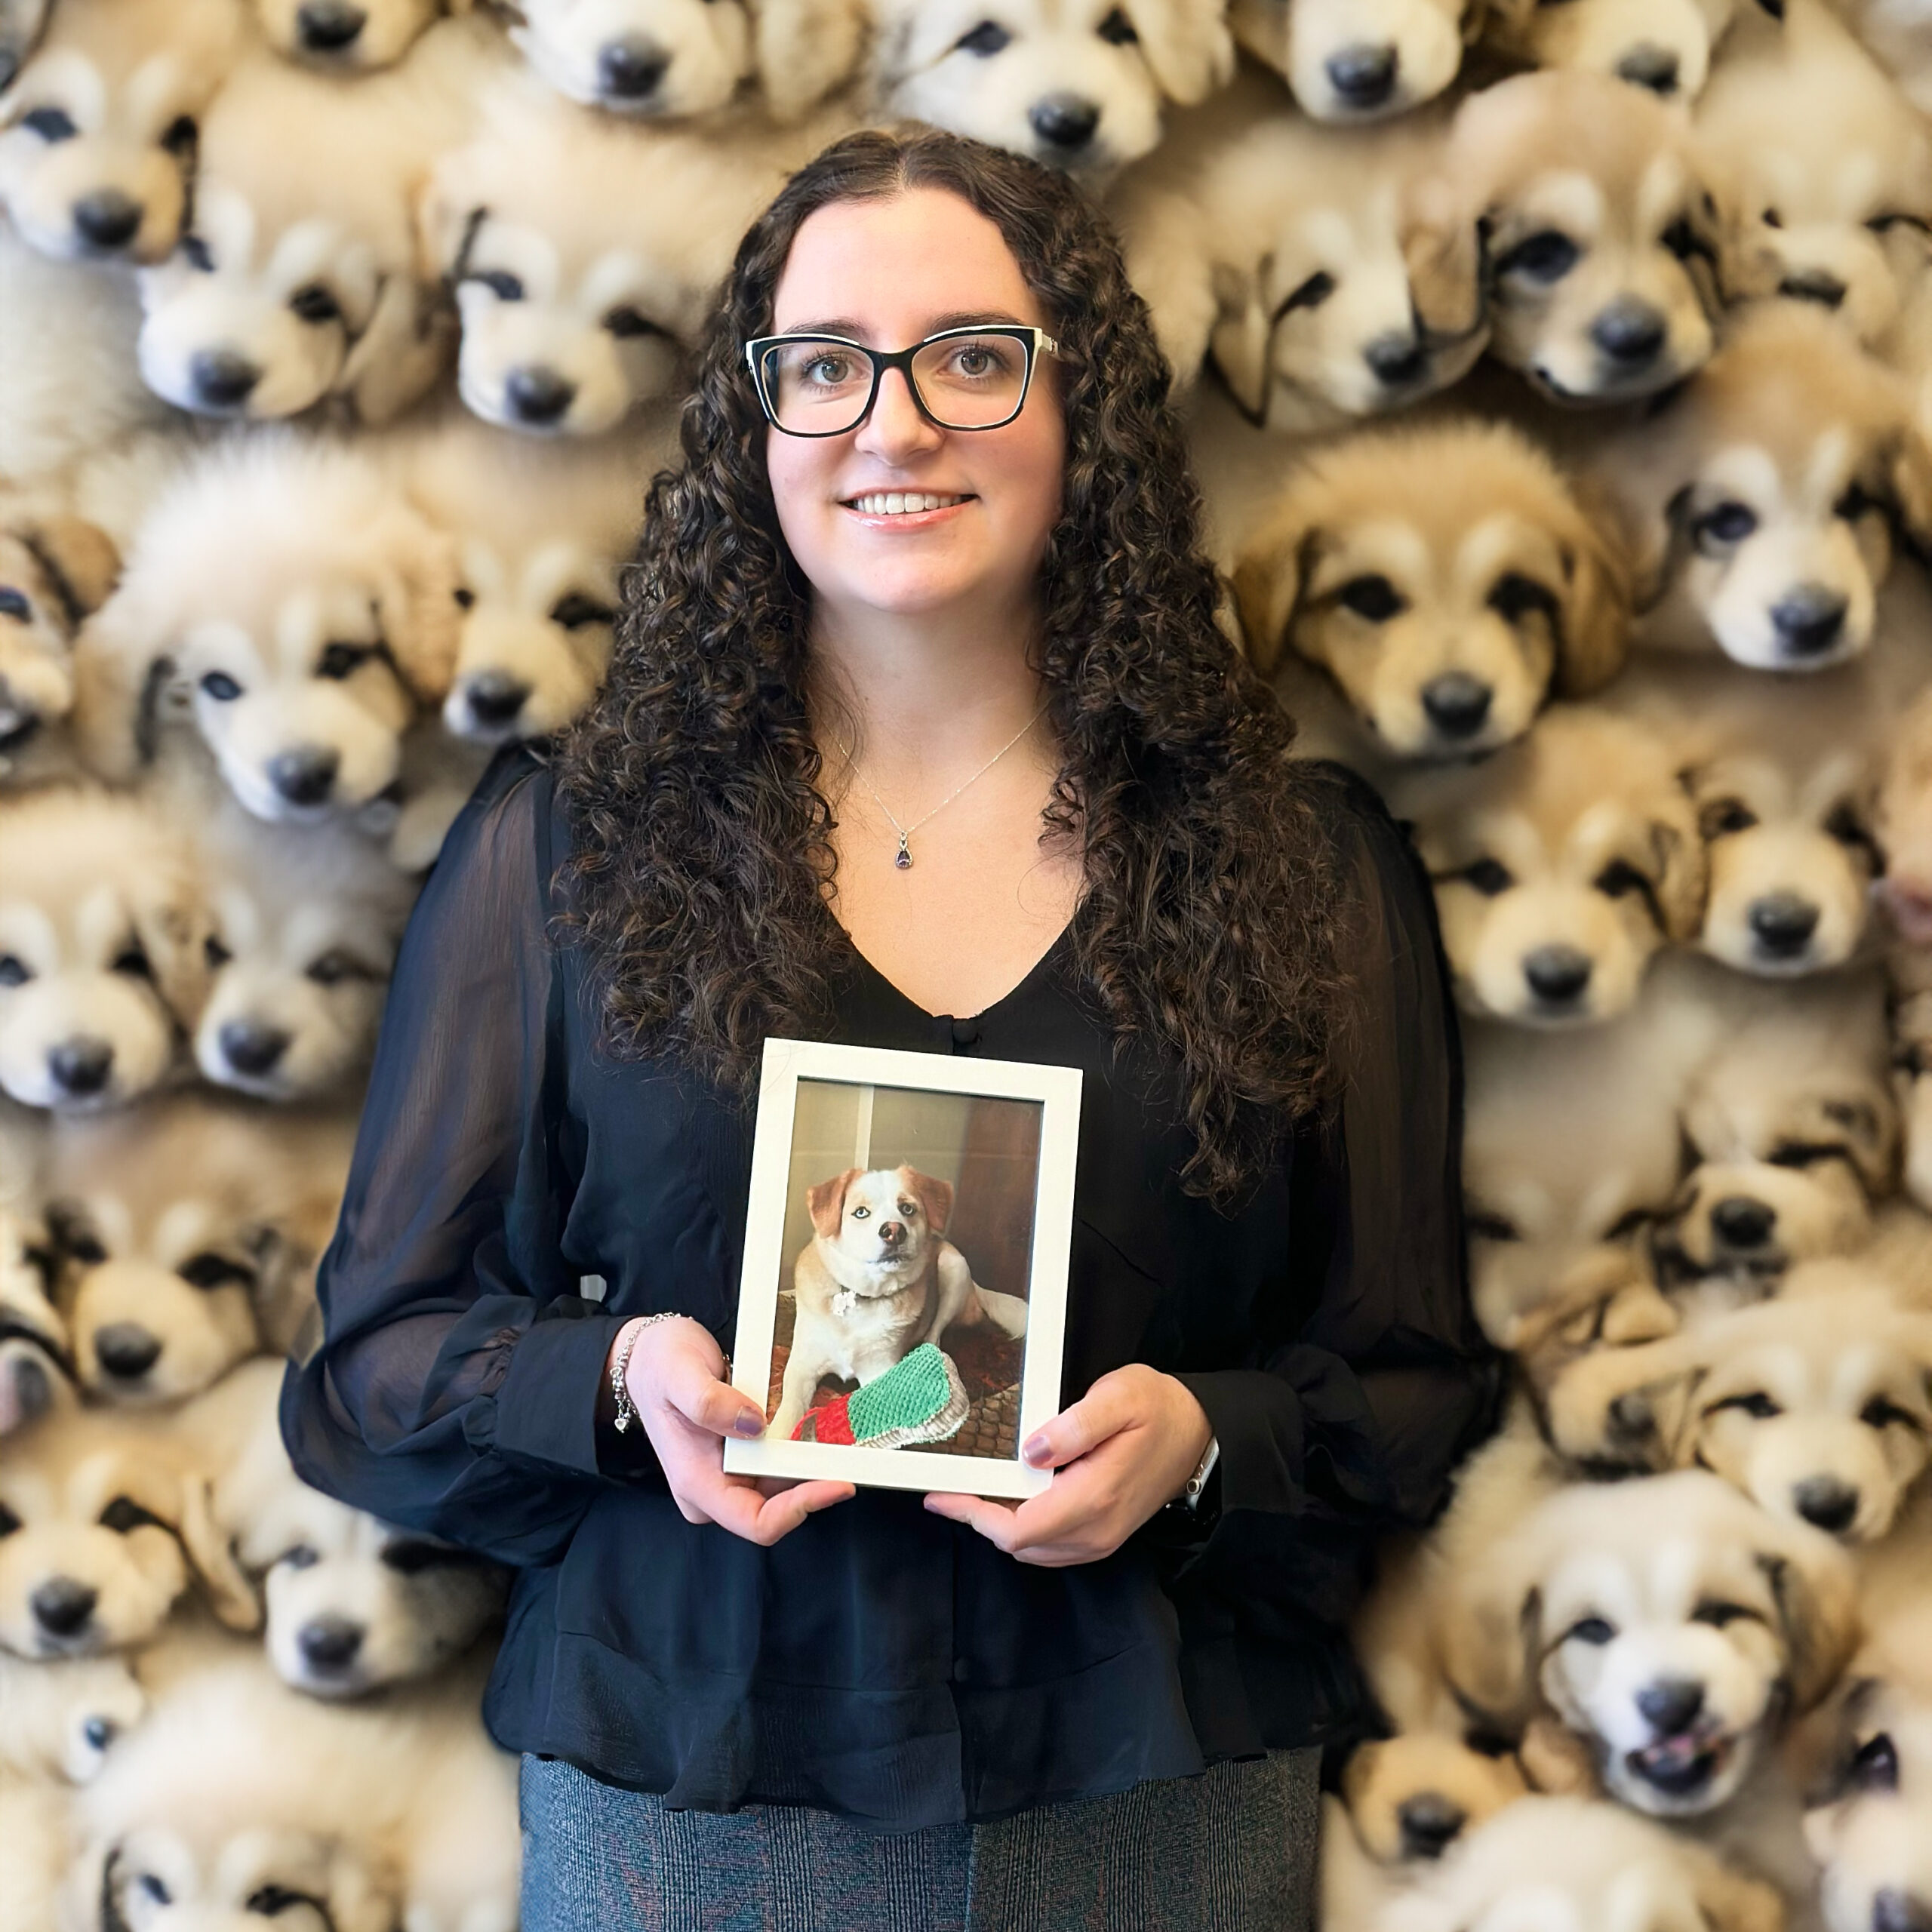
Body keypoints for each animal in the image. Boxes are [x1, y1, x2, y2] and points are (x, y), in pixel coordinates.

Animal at [777, 1159, 1035, 1437]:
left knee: (936, 1332)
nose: (893, 1231)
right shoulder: (801, 1368)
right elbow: (787, 1413)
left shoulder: (878, 1371)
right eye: (860, 1212)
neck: (863, 1297)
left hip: (953, 1268)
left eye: (907, 1208)